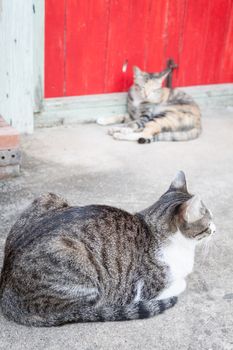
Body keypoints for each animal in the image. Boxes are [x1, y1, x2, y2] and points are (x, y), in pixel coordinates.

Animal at [0, 171, 215, 326]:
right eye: (209, 221)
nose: (216, 227)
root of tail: (5, 292)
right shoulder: (147, 290)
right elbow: (181, 284)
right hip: (77, 259)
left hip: (48, 197)